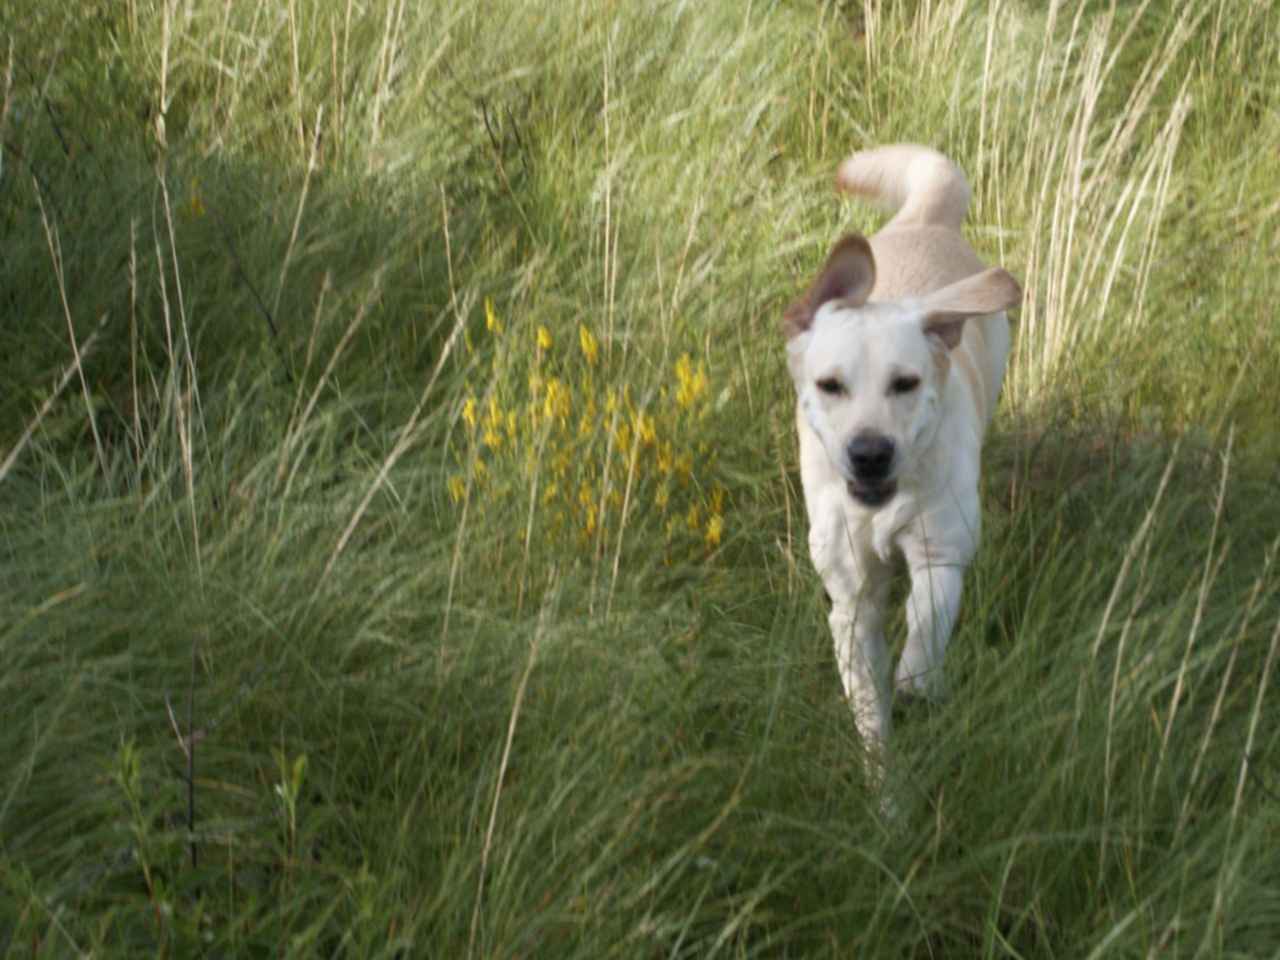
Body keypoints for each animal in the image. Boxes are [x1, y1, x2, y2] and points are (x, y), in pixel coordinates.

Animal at [778, 144, 1018, 768]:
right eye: (831, 385)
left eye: (905, 383)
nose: (869, 453)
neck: (879, 509)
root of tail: (923, 222)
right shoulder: (851, 600)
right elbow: (870, 705)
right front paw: (883, 777)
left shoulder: (942, 553)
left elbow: (926, 623)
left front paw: (916, 680)